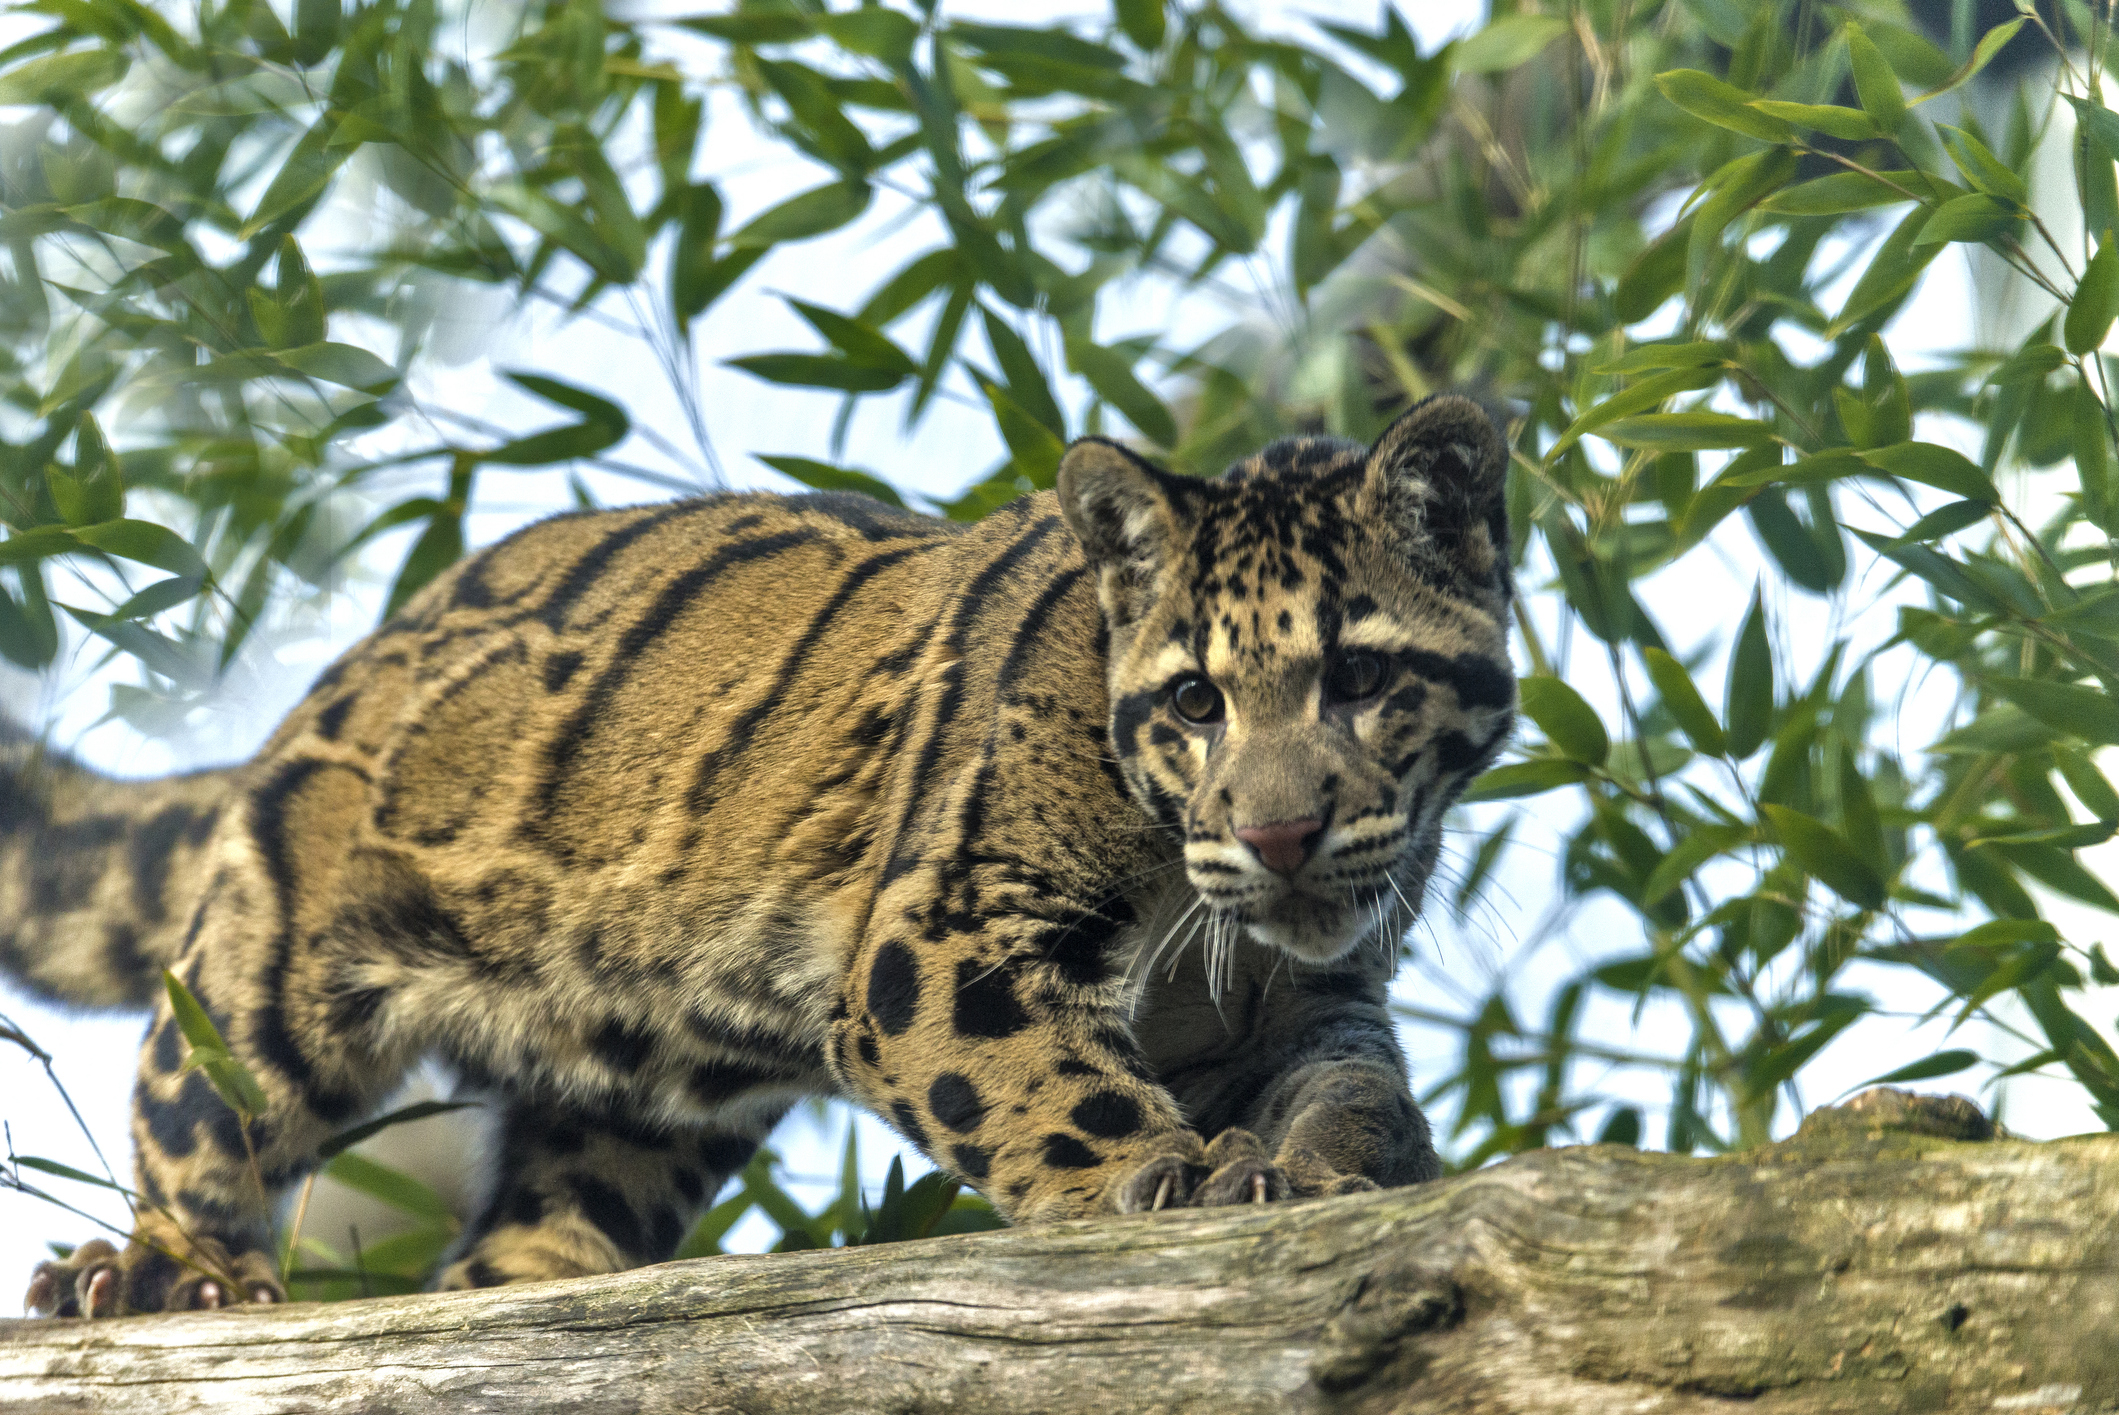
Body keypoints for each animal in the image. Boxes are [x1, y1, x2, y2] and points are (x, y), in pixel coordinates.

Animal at [1, 393, 1515, 1317]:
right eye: (1196, 700)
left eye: (1359, 675)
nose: (1277, 831)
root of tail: (350, 664)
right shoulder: (941, 942)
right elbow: (1058, 1091)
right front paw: (1178, 1173)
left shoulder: (1304, 998)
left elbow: (1351, 1087)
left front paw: (1339, 1170)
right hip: (271, 961)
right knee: (193, 1108)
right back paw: (150, 1276)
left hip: (628, 1109)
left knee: (518, 1241)